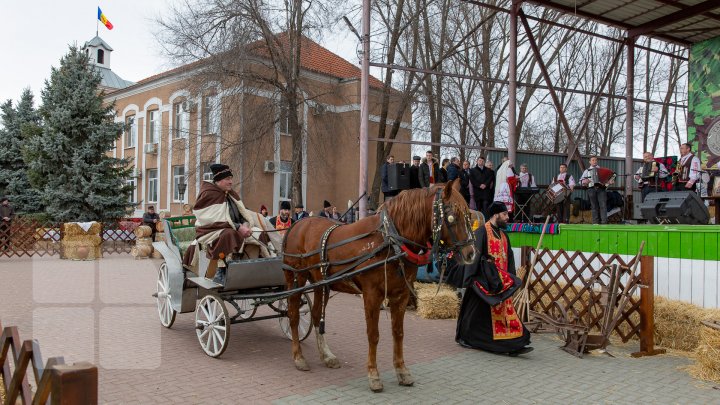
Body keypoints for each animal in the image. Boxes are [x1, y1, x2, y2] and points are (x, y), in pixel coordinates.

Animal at [282, 180, 478, 392]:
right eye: (452, 216)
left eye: (468, 215)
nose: (471, 253)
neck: (390, 241)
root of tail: (298, 223)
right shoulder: (372, 295)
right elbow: (373, 334)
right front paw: (373, 375)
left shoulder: (400, 295)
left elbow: (398, 333)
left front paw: (402, 371)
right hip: (296, 278)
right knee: (293, 314)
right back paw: (298, 357)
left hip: (321, 284)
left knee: (317, 315)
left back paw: (326, 355)